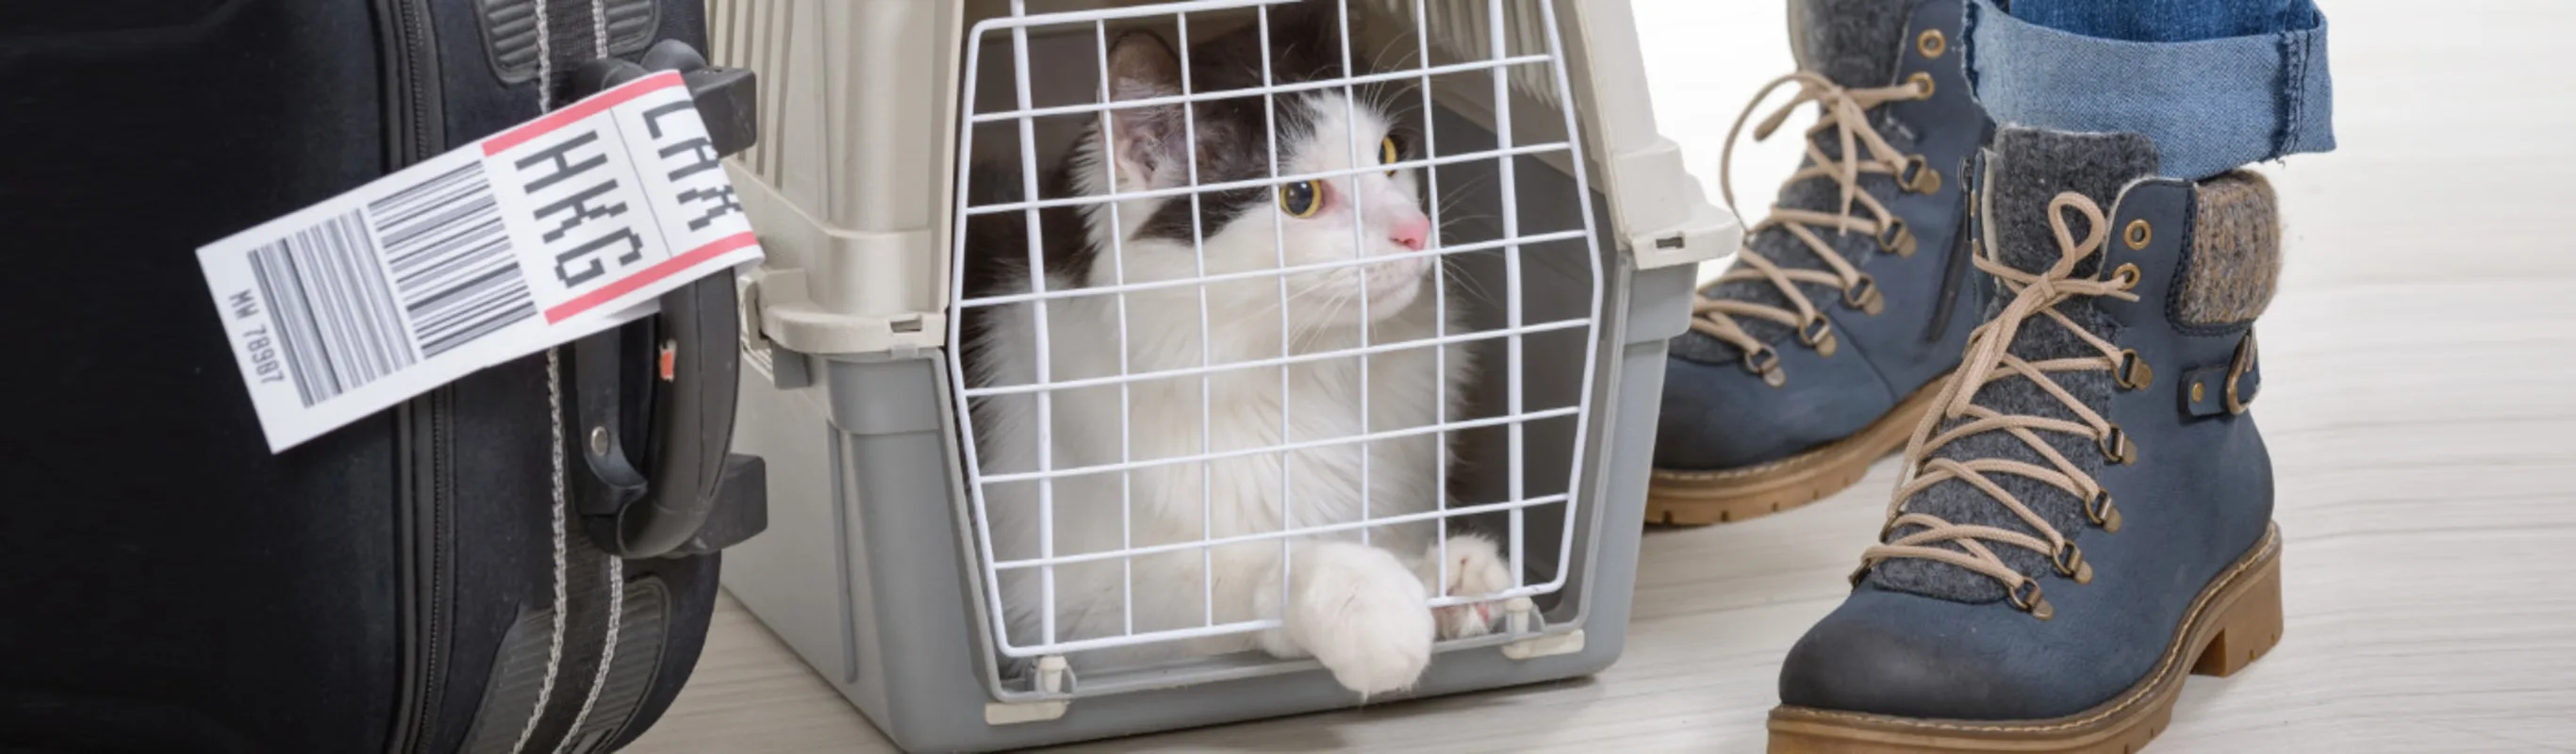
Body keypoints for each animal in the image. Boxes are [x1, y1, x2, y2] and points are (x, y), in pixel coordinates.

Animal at [963, 7, 1504, 699]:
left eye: (1387, 154)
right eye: (1300, 198)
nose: (1417, 231)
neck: (1309, 373)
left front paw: (1453, 580)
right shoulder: (1066, 613)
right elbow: (1249, 572)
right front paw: (1373, 601)